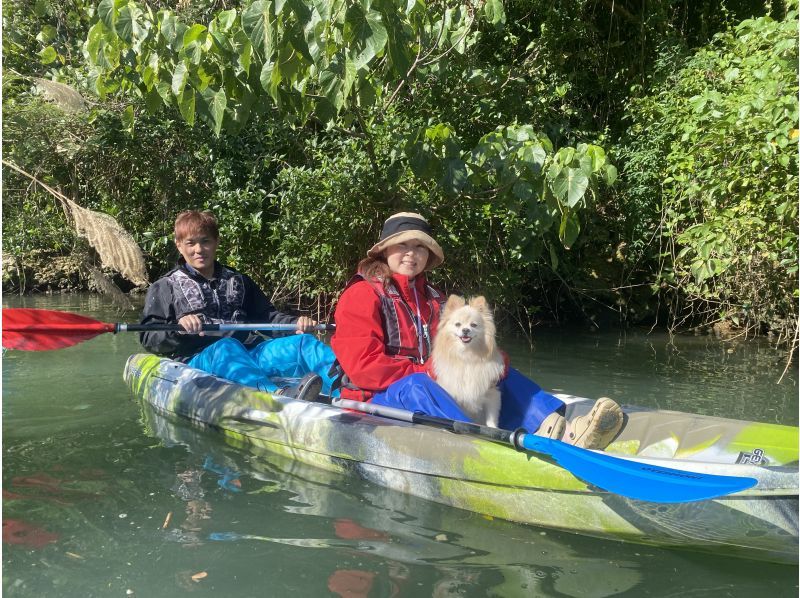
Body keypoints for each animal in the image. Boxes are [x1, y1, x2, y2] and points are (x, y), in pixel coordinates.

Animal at [432, 294, 506, 426]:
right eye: (458, 324)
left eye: (473, 325)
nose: (465, 330)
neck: (467, 356)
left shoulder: (492, 394)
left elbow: (491, 420)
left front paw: (493, 428)